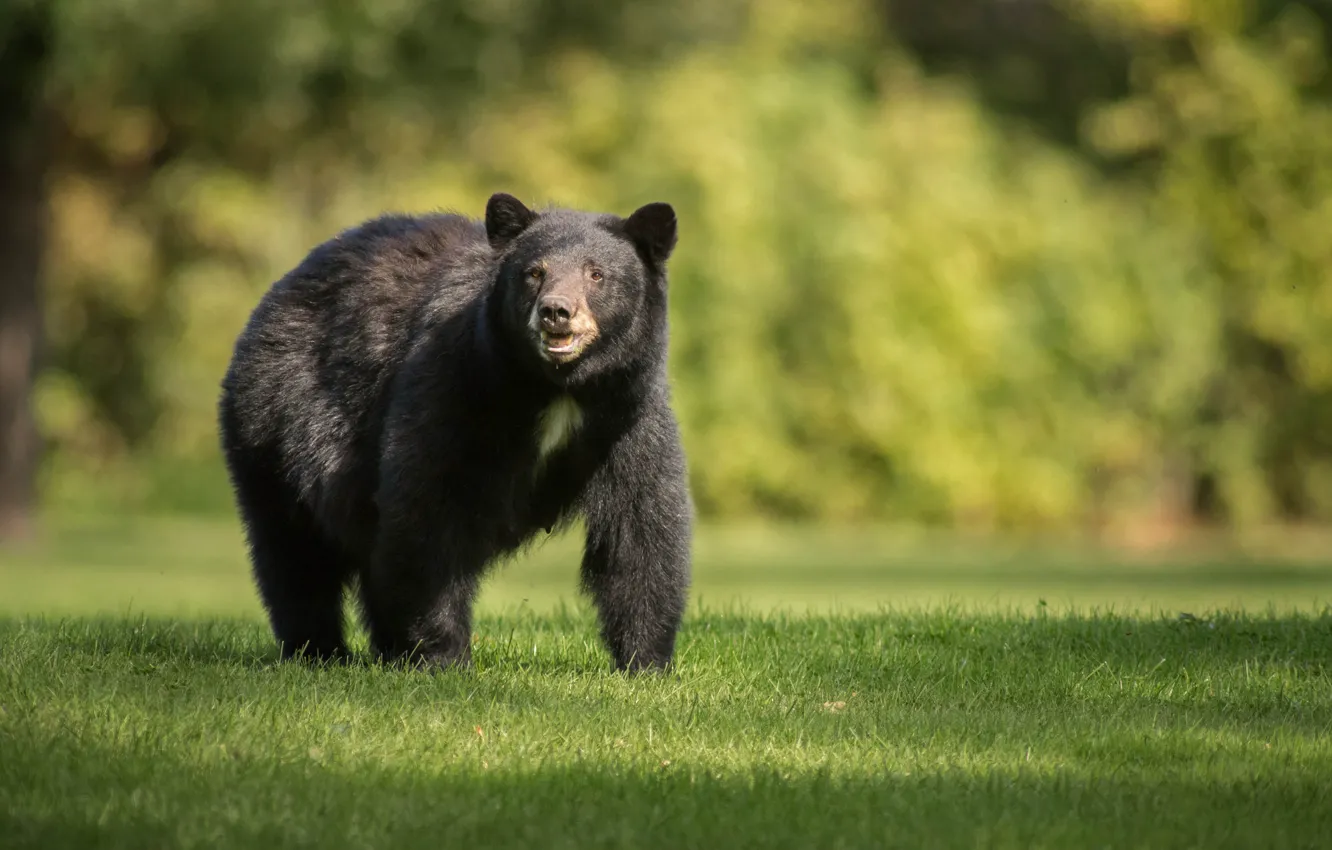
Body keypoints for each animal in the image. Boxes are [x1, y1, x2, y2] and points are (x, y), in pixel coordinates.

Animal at [217, 193, 692, 672]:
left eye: (596, 274)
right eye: (535, 272)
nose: (556, 311)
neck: (556, 389)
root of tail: (281, 289)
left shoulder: (626, 411)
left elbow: (641, 523)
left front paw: (646, 661)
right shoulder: (456, 384)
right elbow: (429, 509)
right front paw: (445, 657)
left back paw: (385, 649)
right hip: (276, 426)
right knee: (296, 552)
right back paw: (319, 649)